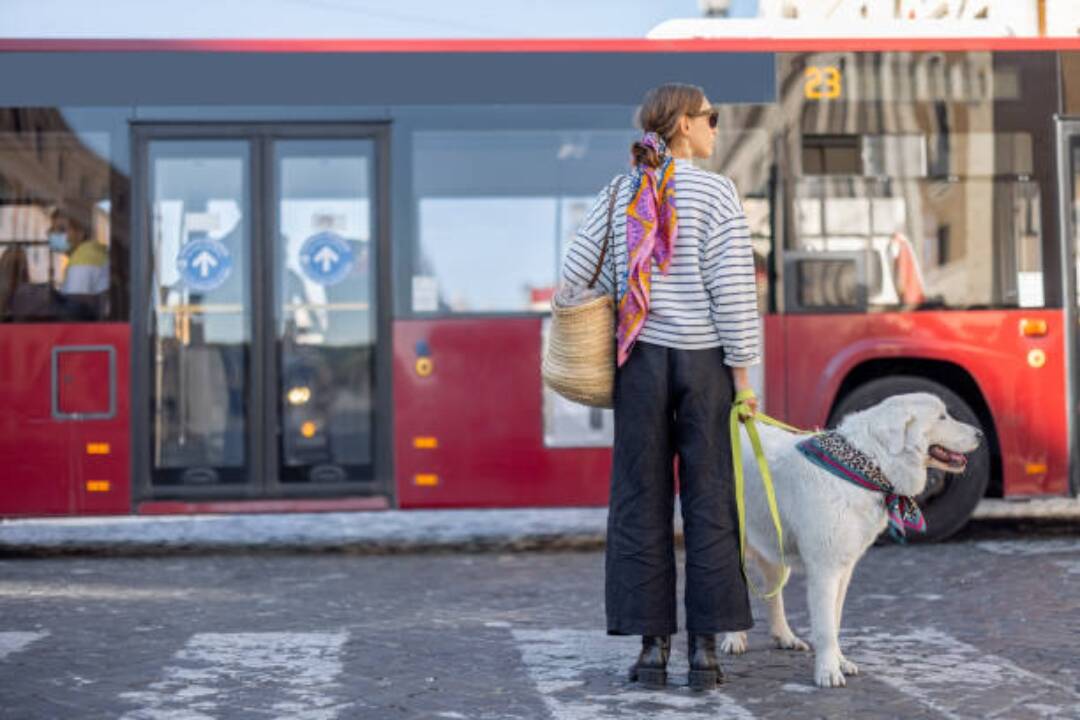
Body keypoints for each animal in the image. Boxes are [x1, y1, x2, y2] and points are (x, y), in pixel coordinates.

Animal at [721, 395, 984, 686]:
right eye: (941, 417)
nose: (980, 434)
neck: (870, 465)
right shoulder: (825, 570)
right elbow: (825, 627)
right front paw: (828, 672)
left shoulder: (844, 568)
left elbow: (834, 621)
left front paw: (840, 662)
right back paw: (733, 638)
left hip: (775, 550)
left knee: (773, 593)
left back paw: (785, 637)